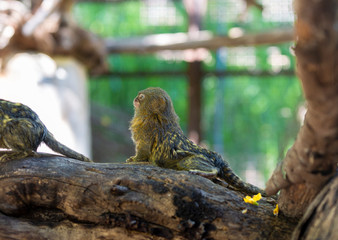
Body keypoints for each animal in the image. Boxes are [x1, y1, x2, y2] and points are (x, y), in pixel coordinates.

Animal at [127, 87, 266, 196]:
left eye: (141, 97)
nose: (135, 99)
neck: (154, 114)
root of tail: (216, 156)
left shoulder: (145, 130)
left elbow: (144, 149)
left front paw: (135, 160)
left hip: (197, 159)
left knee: (208, 168)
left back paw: (204, 172)